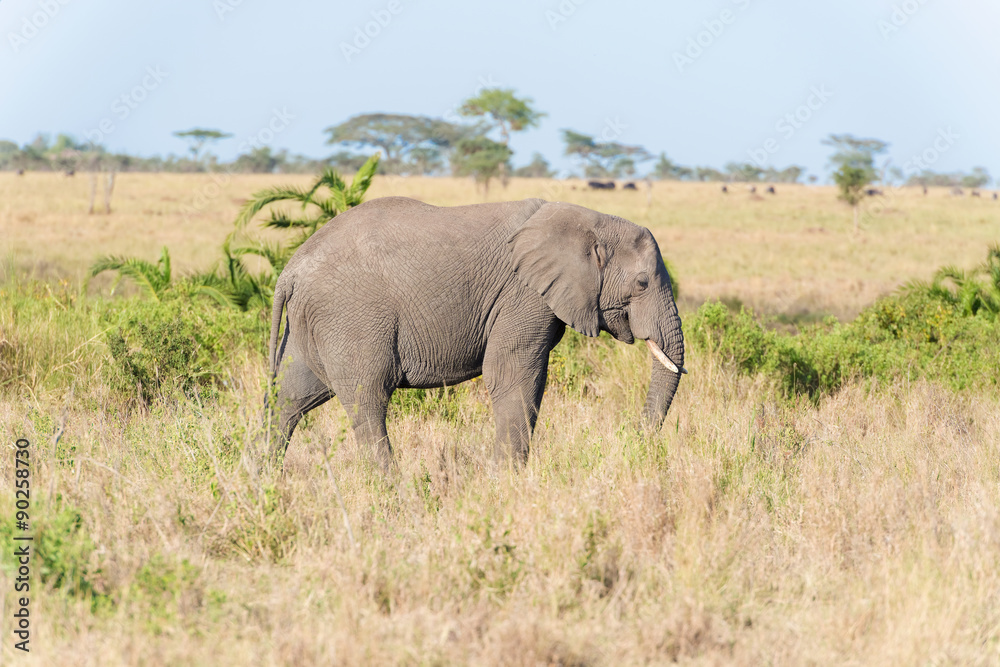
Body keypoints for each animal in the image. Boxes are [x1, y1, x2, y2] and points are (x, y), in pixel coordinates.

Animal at [268, 198, 688, 470]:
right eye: (642, 282)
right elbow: (513, 377)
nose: (635, 443)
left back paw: (263, 485)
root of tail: (290, 270)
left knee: (288, 399)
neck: (590, 217)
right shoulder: (522, 295)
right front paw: (507, 483)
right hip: (351, 318)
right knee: (366, 402)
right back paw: (392, 493)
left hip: (314, 324)